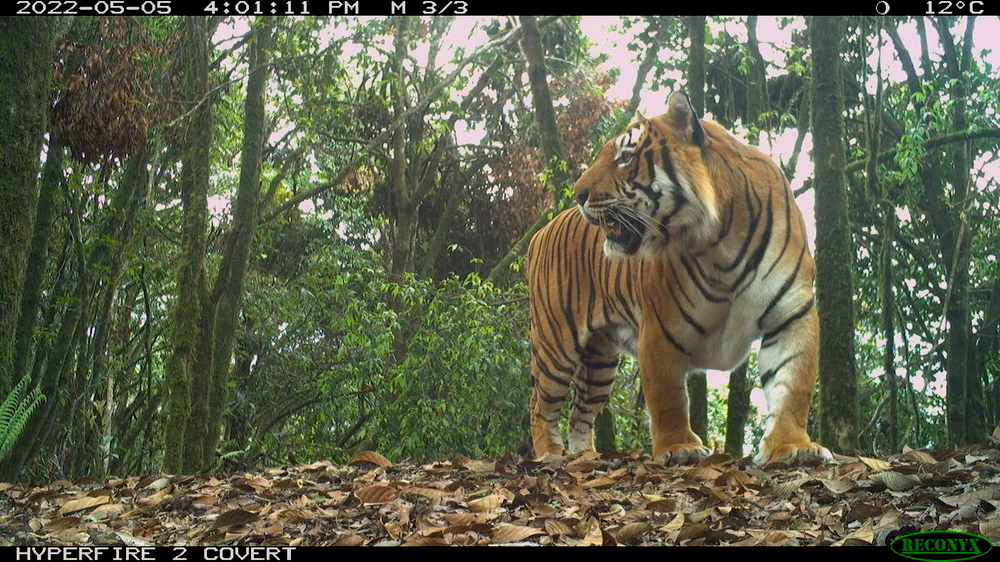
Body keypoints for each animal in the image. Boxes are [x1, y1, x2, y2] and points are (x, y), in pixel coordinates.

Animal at [526, 90, 832, 466]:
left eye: (625, 157)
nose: (578, 194)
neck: (721, 242)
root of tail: (541, 232)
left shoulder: (791, 314)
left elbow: (793, 385)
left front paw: (793, 447)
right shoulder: (660, 327)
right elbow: (666, 395)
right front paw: (678, 448)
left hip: (600, 361)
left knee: (578, 411)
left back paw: (586, 457)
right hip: (556, 343)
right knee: (539, 405)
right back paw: (550, 453)